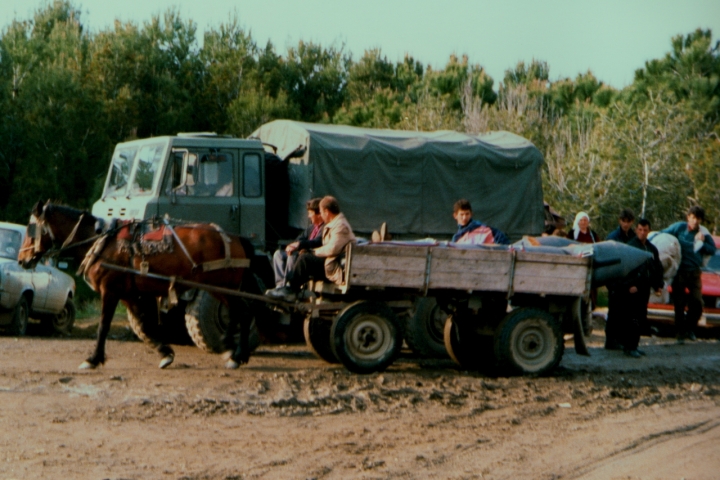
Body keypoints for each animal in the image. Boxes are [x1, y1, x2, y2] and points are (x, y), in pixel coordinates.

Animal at [17, 201, 258, 370]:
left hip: (222, 286)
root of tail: (236, 238)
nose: (21, 260)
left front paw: (93, 359)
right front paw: (165, 353)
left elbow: (103, 326)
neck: (101, 241)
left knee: (242, 313)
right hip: (219, 288)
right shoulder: (128, 295)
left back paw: (236, 354)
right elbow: (144, 325)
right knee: (242, 313)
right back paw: (235, 352)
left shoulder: (110, 291)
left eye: (30, 229)